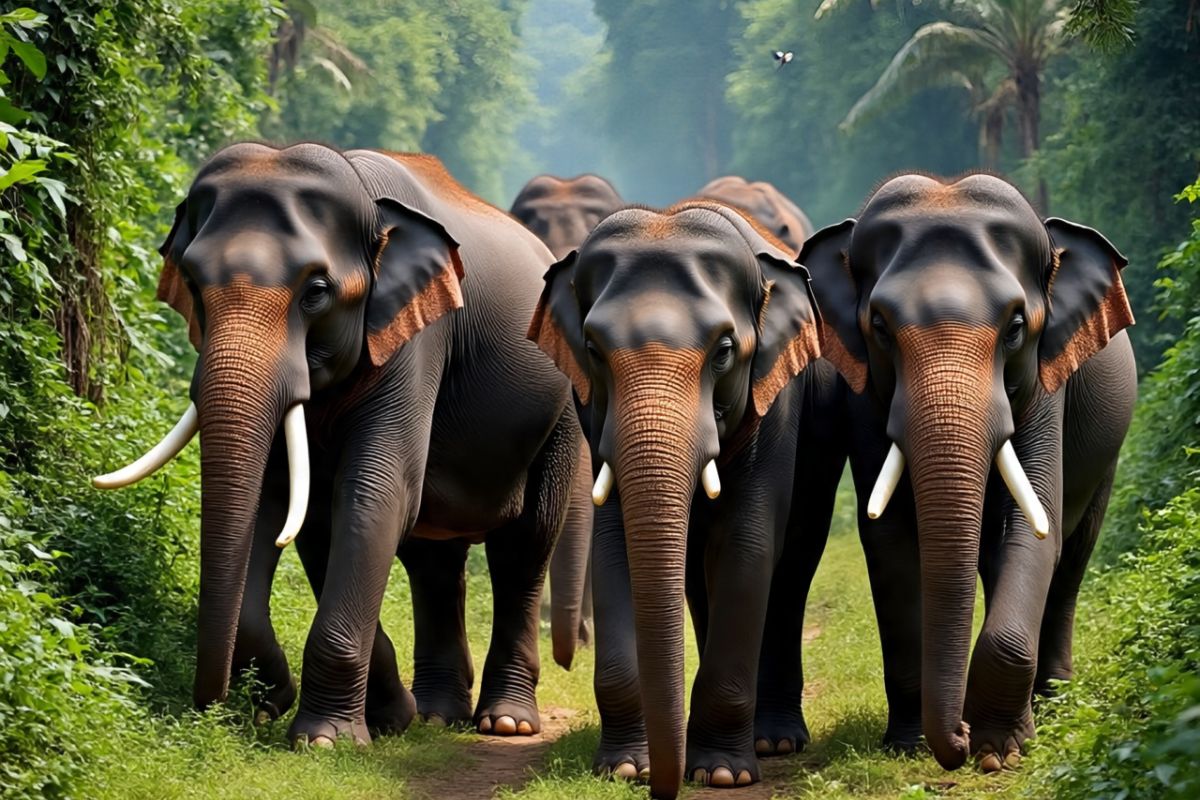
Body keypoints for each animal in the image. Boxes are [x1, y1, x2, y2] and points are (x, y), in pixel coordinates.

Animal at [93, 142, 591, 746]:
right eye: (191, 283)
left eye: (316, 293)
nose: (212, 705)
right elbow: (300, 510)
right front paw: (372, 714)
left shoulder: (417, 338)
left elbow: (375, 493)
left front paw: (324, 738)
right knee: (434, 561)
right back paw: (435, 714)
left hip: (559, 411)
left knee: (524, 545)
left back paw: (505, 722)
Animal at [529, 200, 846, 798]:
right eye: (592, 349)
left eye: (723, 351)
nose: (662, 786)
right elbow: (616, 547)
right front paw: (624, 768)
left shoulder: (776, 404)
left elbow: (746, 544)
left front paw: (721, 773)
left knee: (793, 568)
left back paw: (775, 741)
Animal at [799, 173, 1136, 771]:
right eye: (880, 327)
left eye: (1016, 327)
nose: (956, 737)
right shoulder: (862, 396)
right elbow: (889, 539)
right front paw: (911, 745)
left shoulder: (1044, 386)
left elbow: (1031, 530)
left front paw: (999, 751)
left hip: (1109, 456)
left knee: (1073, 558)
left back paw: (1055, 704)